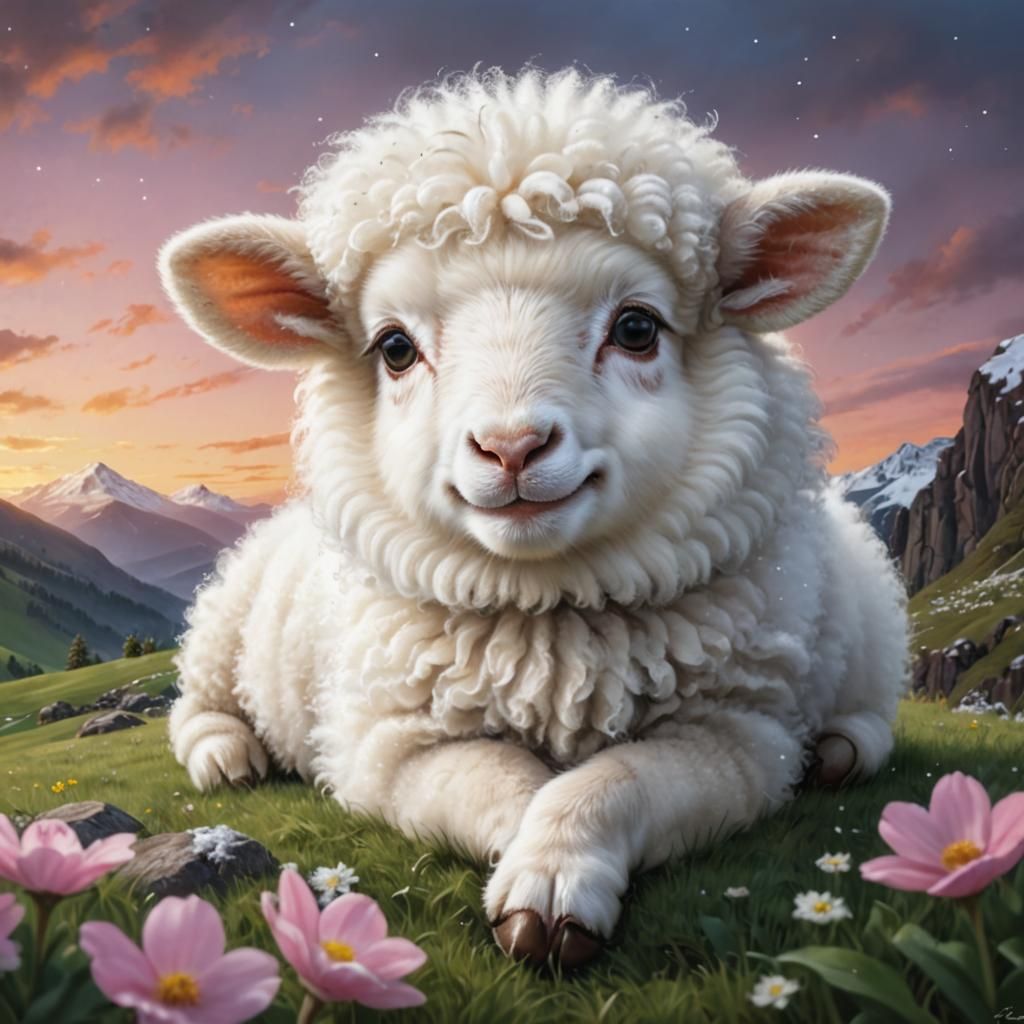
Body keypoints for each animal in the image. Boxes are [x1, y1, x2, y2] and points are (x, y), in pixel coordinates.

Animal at [160, 67, 908, 969]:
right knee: (194, 708)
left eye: (636, 327)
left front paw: (554, 876)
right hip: (224, 631)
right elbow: (507, 784)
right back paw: (227, 758)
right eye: (395, 347)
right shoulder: (389, 749)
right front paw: (536, 879)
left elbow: (612, 782)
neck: (548, 618)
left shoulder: (740, 736)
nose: (511, 447)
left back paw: (839, 753)